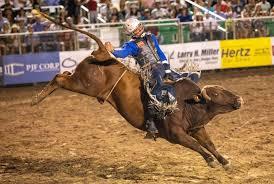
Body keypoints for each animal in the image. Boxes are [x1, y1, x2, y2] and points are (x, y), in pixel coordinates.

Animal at [31, 9, 243, 168]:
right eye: (216, 93)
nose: (239, 99)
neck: (188, 104)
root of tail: (100, 52)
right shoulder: (177, 135)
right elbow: (196, 146)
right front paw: (211, 161)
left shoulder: (197, 127)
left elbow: (209, 143)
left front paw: (224, 161)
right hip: (84, 84)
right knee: (59, 78)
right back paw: (35, 99)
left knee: (65, 74)